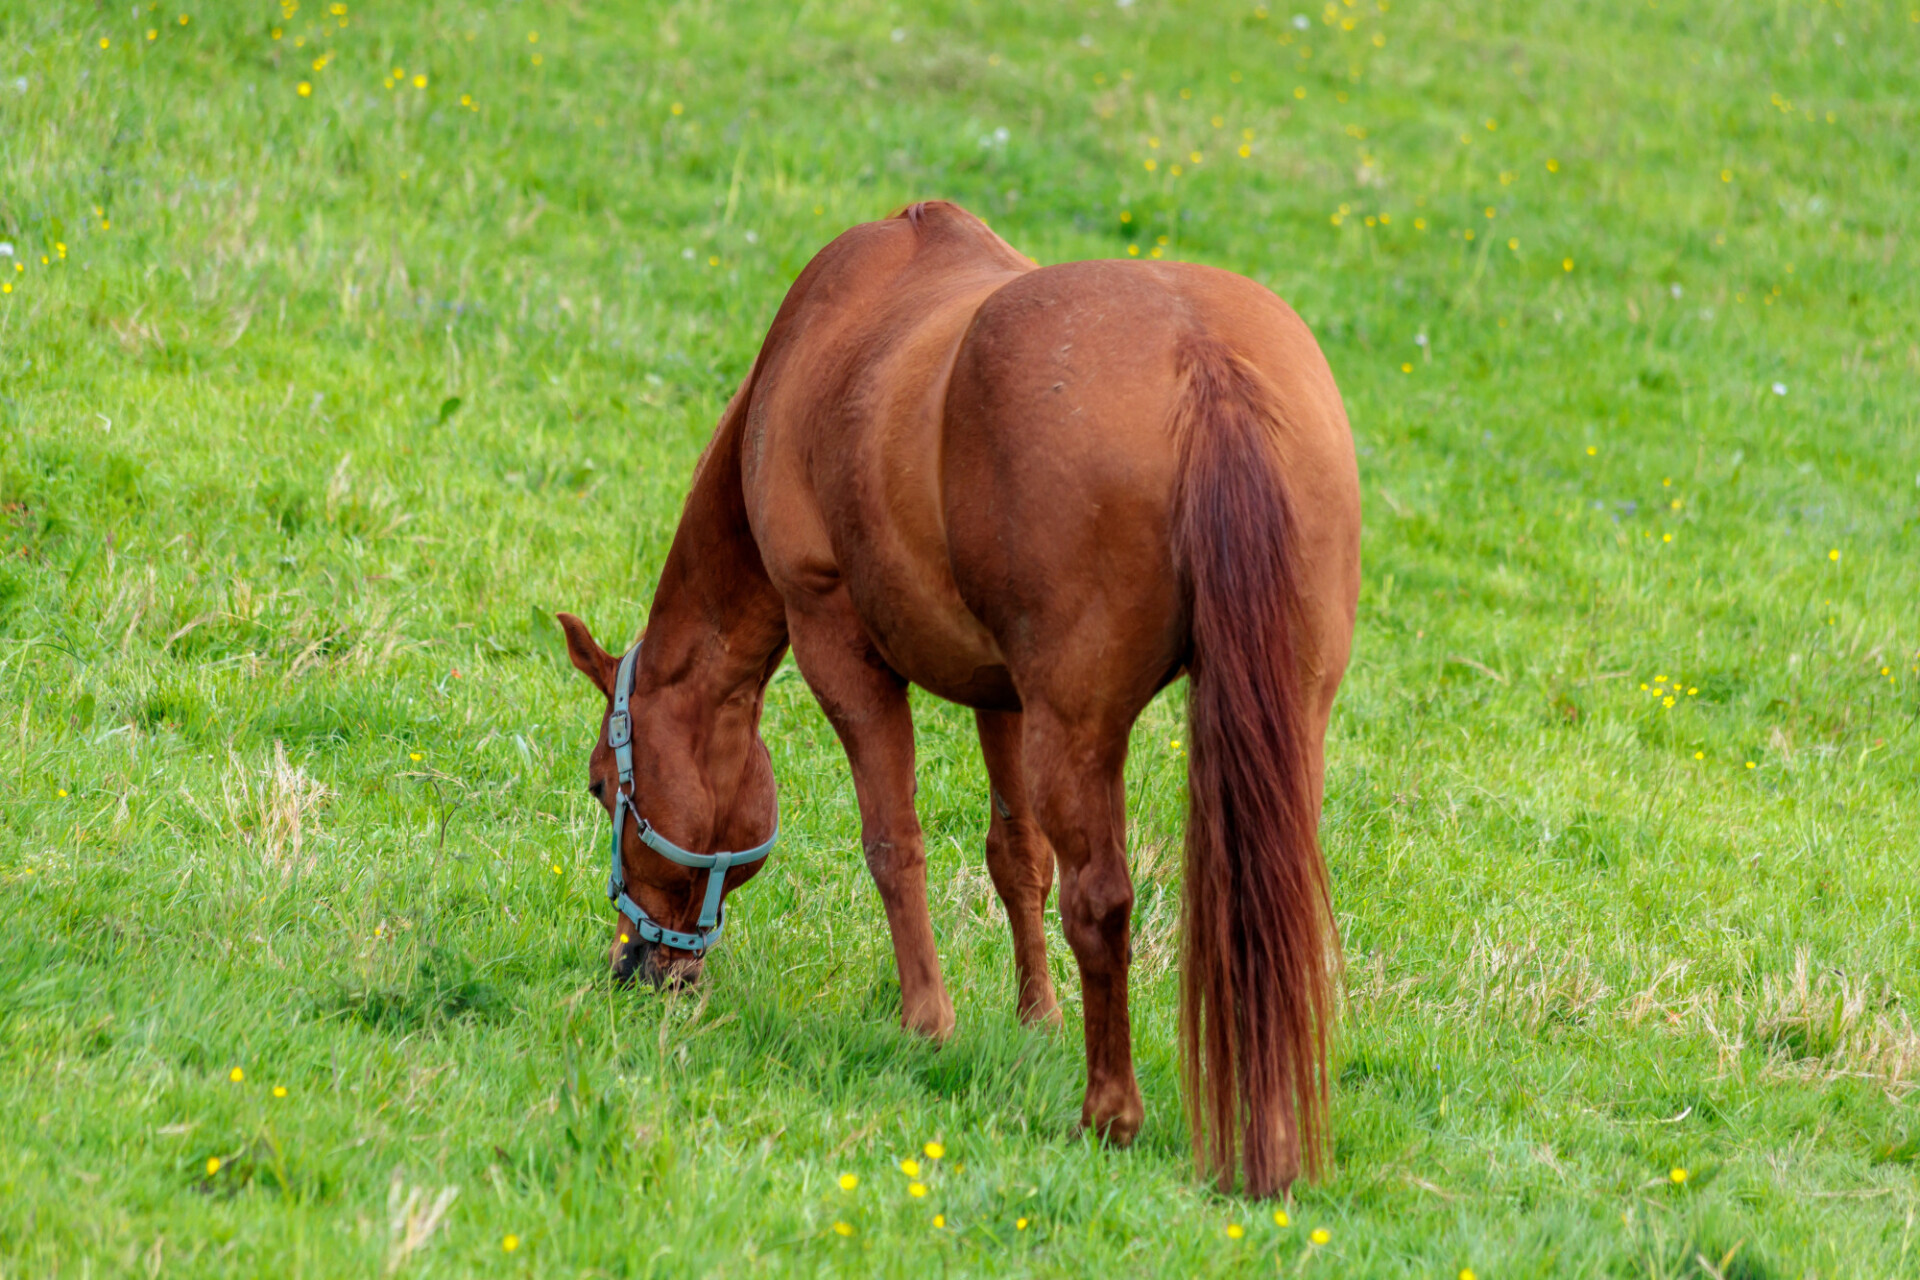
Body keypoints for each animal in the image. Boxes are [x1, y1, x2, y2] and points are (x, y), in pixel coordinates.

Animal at [560, 202, 1367, 1205]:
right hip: (1284, 721)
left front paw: (927, 1021)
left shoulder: (839, 644)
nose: (635, 964)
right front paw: (1037, 1019)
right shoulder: (1004, 694)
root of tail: (1205, 364)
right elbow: (1016, 857)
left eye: (603, 786)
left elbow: (893, 843)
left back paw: (1110, 1113)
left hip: (1080, 725)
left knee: (1102, 900)